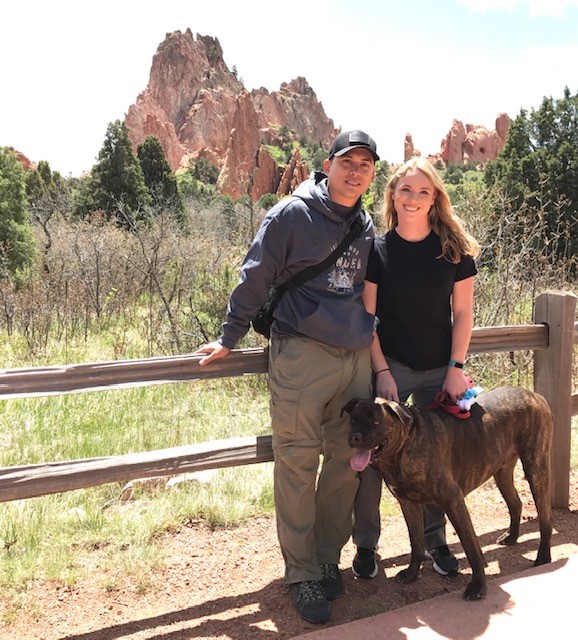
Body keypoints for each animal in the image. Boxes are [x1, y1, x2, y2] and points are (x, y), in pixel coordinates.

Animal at [344, 384, 552, 600]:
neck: (402, 449)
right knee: (516, 503)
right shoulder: (408, 504)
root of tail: (534, 395)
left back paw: (543, 556)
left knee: (545, 516)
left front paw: (478, 585)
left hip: (536, 467)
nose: (354, 437)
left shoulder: (453, 501)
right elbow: (416, 543)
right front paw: (412, 573)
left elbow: (471, 547)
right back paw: (511, 537)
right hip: (502, 472)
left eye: (376, 421)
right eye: (353, 420)